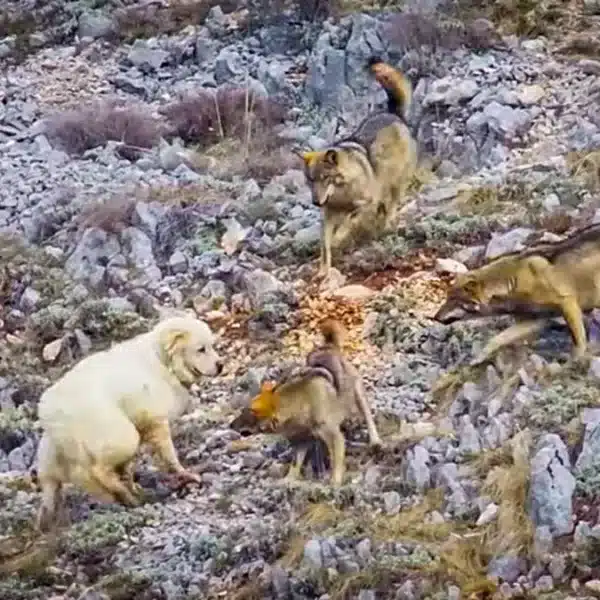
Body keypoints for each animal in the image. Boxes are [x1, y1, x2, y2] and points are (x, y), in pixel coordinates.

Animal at [34, 314, 223, 528]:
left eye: (212, 345)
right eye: (201, 349)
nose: (220, 366)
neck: (162, 361)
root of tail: (50, 411)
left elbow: (128, 467)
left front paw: (133, 485)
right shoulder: (155, 419)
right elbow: (168, 453)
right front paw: (185, 473)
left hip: (55, 454)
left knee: (62, 484)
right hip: (120, 434)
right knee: (99, 470)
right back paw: (123, 495)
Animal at [229, 318, 380, 488]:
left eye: (252, 410)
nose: (230, 425)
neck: (299, 405)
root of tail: (328, 346)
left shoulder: (333, 436)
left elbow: (336, 460)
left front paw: (334, 482)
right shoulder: (301, 442)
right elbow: (296, 463)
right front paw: (289, 479)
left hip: (358, 393)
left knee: (368, 417)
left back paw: (375, 441)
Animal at [298, 55, 418, 274]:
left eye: (325, 178)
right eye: (310, 180)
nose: (316, 202)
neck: (341, 194)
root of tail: (394, 114)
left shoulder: (364, 204)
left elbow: (347, 223)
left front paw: (338, 239)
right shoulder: (327, 216)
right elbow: (324, 246)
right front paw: (322, 270)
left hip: (396, 184)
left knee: (391, 207)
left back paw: (386, 226)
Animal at [434, 224, 600, 366]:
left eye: (453, 300)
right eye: (447, 298)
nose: (434, 318)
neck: (511, 283)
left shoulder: (567, 303)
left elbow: (578, 339)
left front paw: (576, 359)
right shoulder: (534, 321)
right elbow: (497, 339)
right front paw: (478, 358)